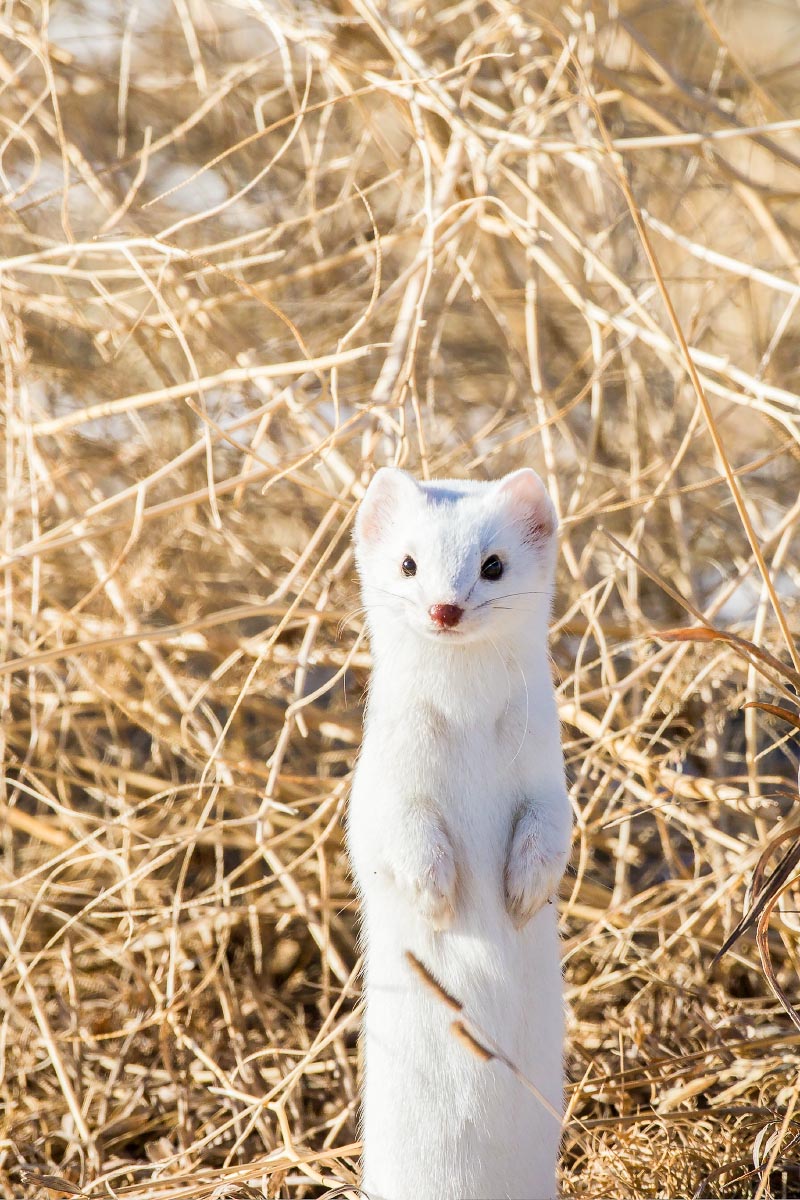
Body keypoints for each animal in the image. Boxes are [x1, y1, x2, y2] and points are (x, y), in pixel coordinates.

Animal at [347, 468, 568, 1200]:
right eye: (408, 563)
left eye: (492, 564)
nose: (445, 608)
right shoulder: (383, 785)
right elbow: (398, 835)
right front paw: (436, 893)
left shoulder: (548, 775)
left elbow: (553, 827)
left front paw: (524, 889)